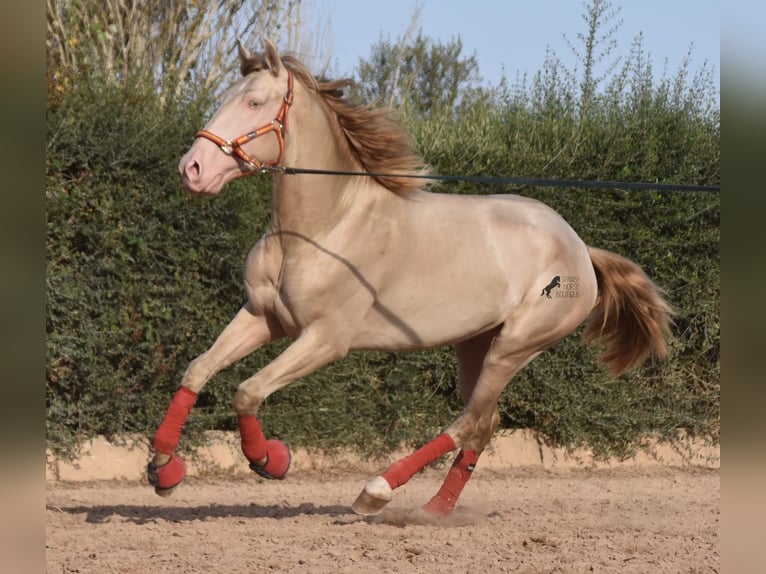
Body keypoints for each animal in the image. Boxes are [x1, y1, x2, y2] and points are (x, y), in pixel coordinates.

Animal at [147, 40, 676, 516]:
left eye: (254, 102)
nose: (192, 169)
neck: (324, 226)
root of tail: (579, 249)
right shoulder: (264, 317)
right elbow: (199, 369)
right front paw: (163, 469)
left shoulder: (325, 339)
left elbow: (248, 390)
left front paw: (270, 460)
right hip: (476, 344)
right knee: (485, 422)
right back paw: (435, 509)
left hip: (517, 345)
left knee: (468, 422)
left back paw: (376, 492)